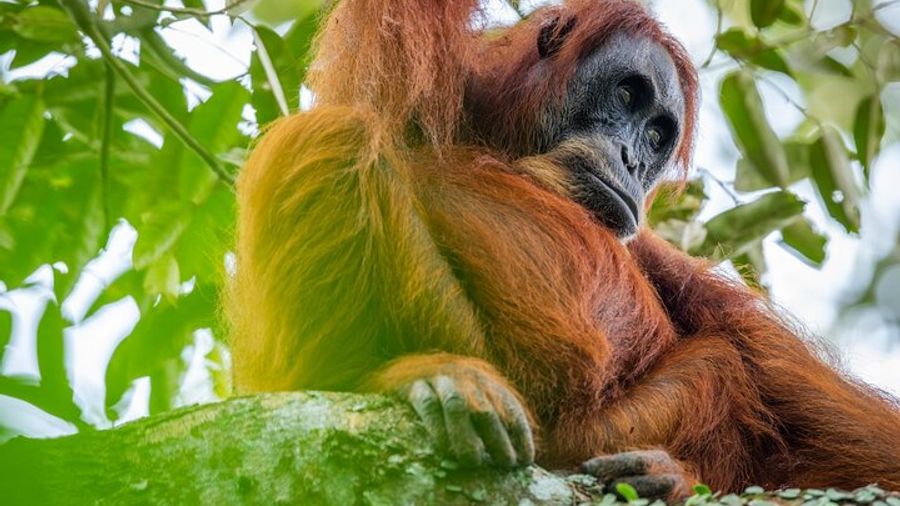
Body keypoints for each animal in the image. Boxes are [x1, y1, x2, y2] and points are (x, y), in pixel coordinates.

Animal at [228, 0, 900, 500]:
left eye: (658, 134)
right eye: (627, 96)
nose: (632, 158)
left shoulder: (653, 251)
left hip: (594, 437)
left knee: (731, 363)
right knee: (332, 138)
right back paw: (411, 377)